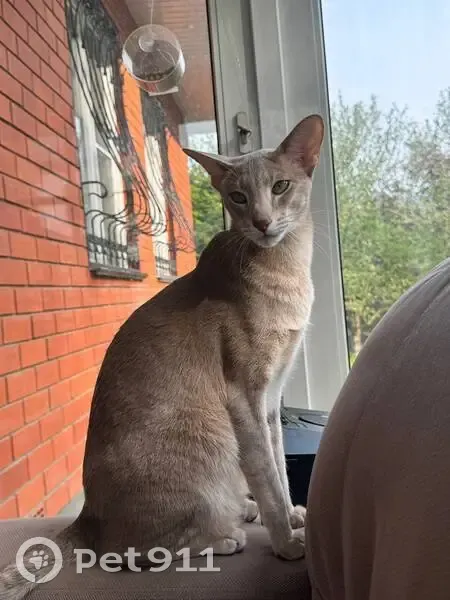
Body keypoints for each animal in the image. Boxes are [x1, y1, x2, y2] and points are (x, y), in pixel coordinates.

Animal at [0, 113, 324, 599]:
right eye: (238, 197)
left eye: (281, 186)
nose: (263, 221)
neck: (287, 270)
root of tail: (87, 515)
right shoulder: (246, 397)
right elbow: (266, 473)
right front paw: (287, 542)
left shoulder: (271, 399)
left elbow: (280, 471)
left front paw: (293, 516)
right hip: (209, 439)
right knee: (129, 552)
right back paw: (227, 534)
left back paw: (242, 512)